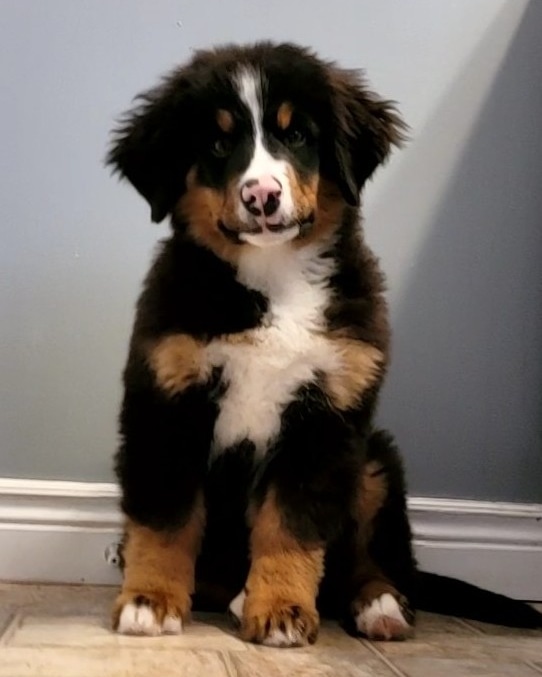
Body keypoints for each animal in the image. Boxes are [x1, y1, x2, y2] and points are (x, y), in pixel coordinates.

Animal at [107, 42, 542, 646]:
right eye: (217, 143)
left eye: (296, 135)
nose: (262, 195)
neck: (275, 278)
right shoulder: (165, 402)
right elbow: (164, 520)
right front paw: (150, 601)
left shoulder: (326, 418)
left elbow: (290, 528)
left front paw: (281, 610)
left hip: (374, 463)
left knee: (370, 562)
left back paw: (380, 606)